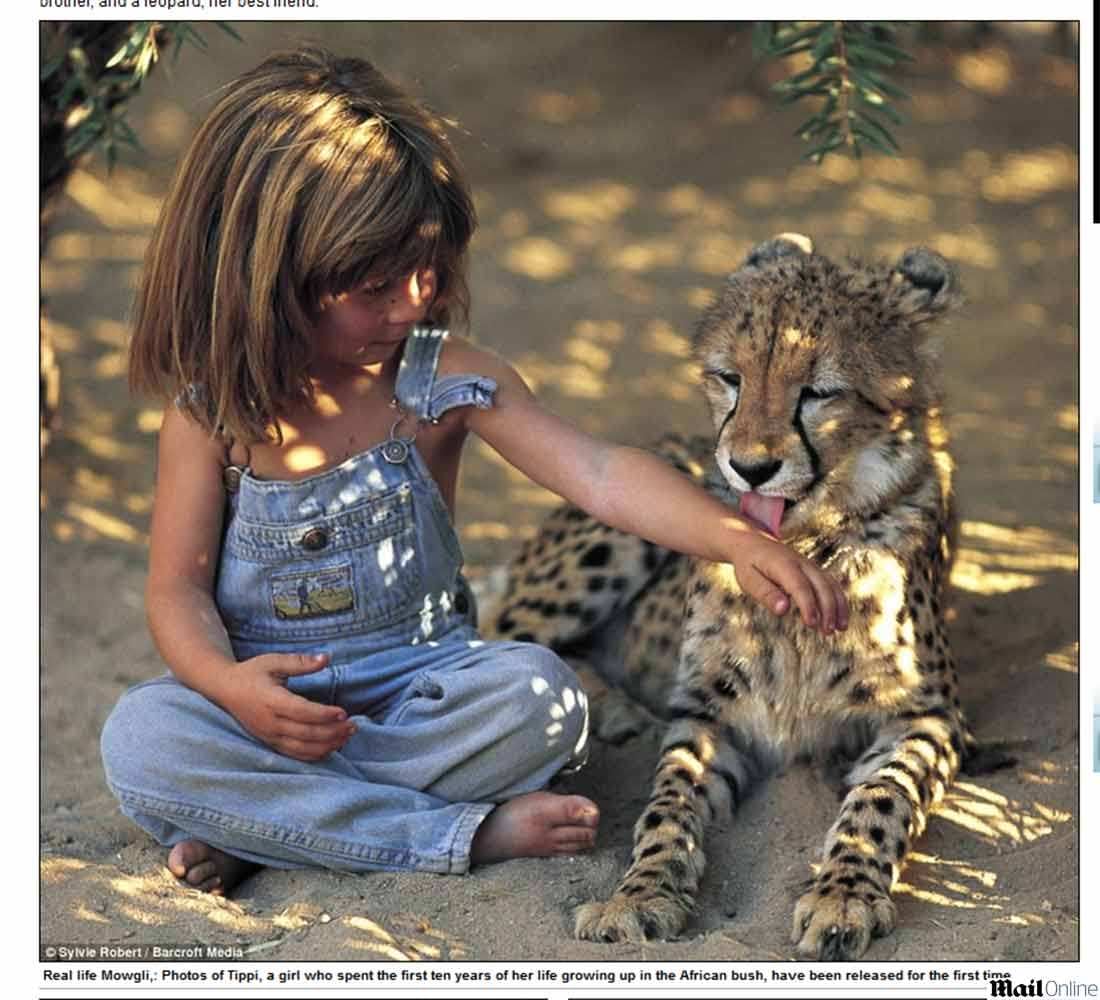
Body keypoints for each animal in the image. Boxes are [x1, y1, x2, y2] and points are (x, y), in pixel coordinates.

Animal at [483, 234, 1008, 960]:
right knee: (497, 636)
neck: (803, 550)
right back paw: (611, 707)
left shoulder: (928, 718)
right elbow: (666, 804)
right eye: (729, 378)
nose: (749, 467)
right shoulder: (708, 715)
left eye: (819, 392)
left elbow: (881, 798)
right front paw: (640, 894)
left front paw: (844, 894)